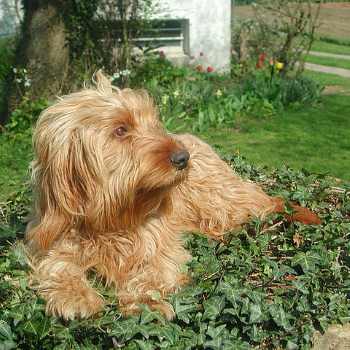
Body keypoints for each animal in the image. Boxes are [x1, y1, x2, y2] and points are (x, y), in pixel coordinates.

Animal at [26, 71, 322, 320]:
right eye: (121, 130)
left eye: (153, 123)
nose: (183, 158)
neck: (112, 217)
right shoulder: (53, 239)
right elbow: (58, 265)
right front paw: (75, 296)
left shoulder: (159, 245)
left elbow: (154, 272)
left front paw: (147, 301)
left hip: (219, 201)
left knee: (262, 205)